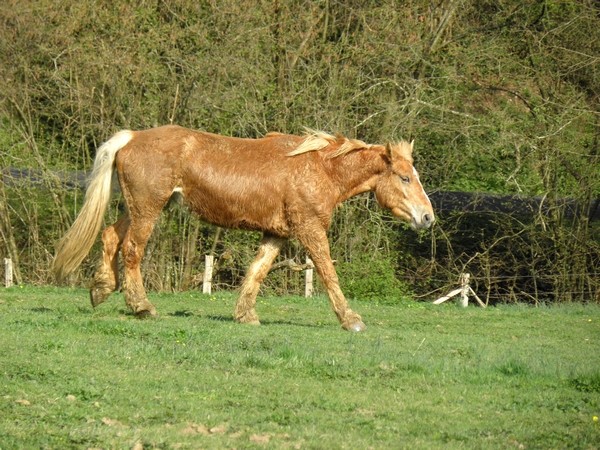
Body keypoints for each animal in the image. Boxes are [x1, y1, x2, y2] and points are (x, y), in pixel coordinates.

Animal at [52, 125, 436, 330]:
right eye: (404, 177)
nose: (427, 217)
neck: (321, 169)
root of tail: (131, 137)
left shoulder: (277, 234)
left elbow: (257, 271)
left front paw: (245, 315)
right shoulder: (310, 229)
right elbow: (328, 273)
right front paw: (350, 319)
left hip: (137, 207)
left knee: (110, 236)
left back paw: (101, 289)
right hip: (148, 209)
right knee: (132, 249)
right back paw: (141, 306)